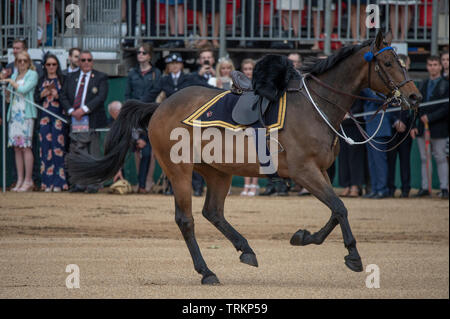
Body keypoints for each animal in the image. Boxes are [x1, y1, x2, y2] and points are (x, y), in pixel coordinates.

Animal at [67, 30, 422, 284]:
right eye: (388, 64)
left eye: (402, 62)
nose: (415, 96)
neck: (314, 106)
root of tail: (160, 105)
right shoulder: (305, 172)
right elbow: (340, 208)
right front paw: (352, 256)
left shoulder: (319, 172)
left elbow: (336, 210)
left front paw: (304, 237)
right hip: (179, 171)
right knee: (187, 219)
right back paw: (207, 271)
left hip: (217, 172)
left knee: (213, 212)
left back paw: (245, 249)